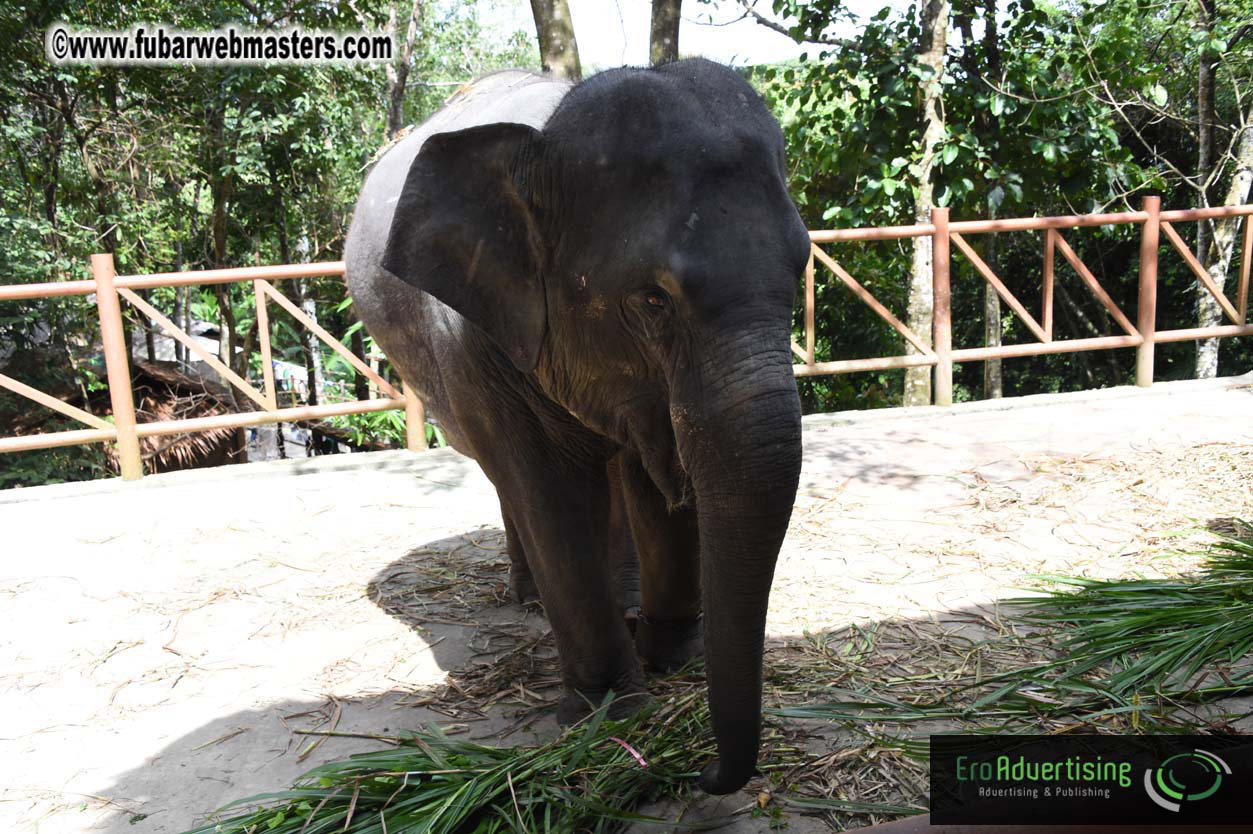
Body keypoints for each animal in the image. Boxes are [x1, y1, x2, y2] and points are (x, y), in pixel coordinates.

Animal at [345, 59, 809, 795]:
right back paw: (531, 597)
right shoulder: (479, 337)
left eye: (803, 267)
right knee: (508, 480)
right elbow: (552, 493)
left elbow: (658, 477)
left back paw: (623, 598)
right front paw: (609, 712)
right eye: (652, 298)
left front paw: (673, 658)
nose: (705, 773)